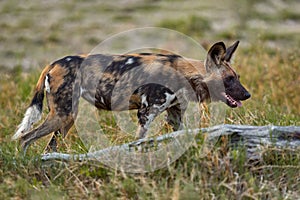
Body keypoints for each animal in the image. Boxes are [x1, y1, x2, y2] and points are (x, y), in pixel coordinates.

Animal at [12, 41, 251, 153]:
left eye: (237, 77)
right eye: (229, 79)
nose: (247, 94)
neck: (185, 74)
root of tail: (53, 63)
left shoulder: (174, 116)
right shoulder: (145, 114)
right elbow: (138, 142)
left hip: (67, 119)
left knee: (47, 147)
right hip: (62, 115)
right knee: (25, 138)